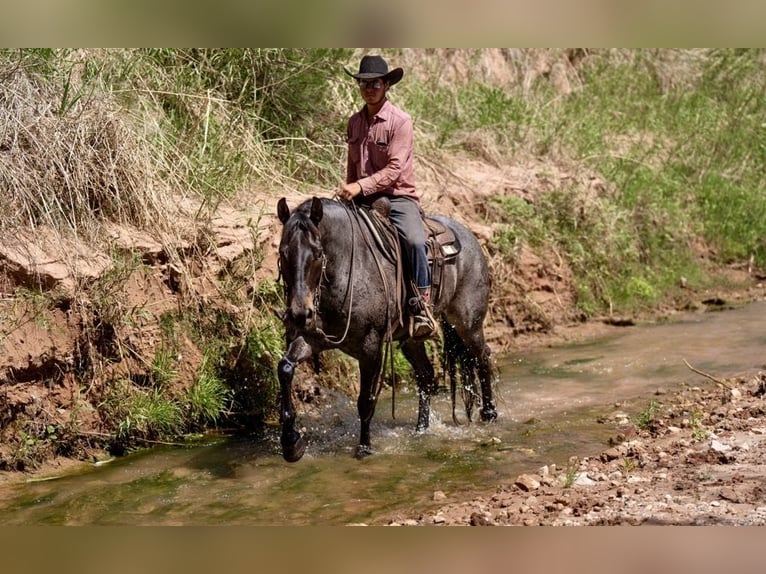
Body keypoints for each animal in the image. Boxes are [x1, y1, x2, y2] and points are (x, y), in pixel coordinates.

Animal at [276, 198, 498, 464]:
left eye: (318, 253)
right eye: (283, 252)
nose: (300, 314)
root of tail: (469, 236)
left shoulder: (371, 348)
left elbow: (365, 401)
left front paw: (364, 447)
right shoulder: (311, 339)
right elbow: (285, 368)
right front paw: (291, 443)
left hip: (468, 322)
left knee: (483, 357)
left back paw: (489, 413)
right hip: (412, 339)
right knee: (426, 374)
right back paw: (421, 430)